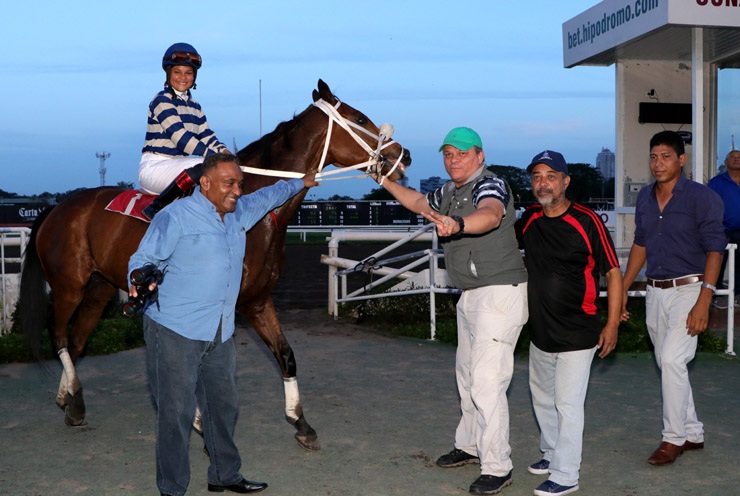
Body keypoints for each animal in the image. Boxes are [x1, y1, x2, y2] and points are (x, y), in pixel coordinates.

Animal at [18, 79, 410, 452]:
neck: (254, 210)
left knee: (77, 340)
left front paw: (301, 424)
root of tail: (58, 206)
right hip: (69, 285)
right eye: (360, 118)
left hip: (99, 288)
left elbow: (286, 355)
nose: (402, 155)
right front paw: (201, 423)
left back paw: (71, 401)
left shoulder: (257, 300)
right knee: (59, 334)